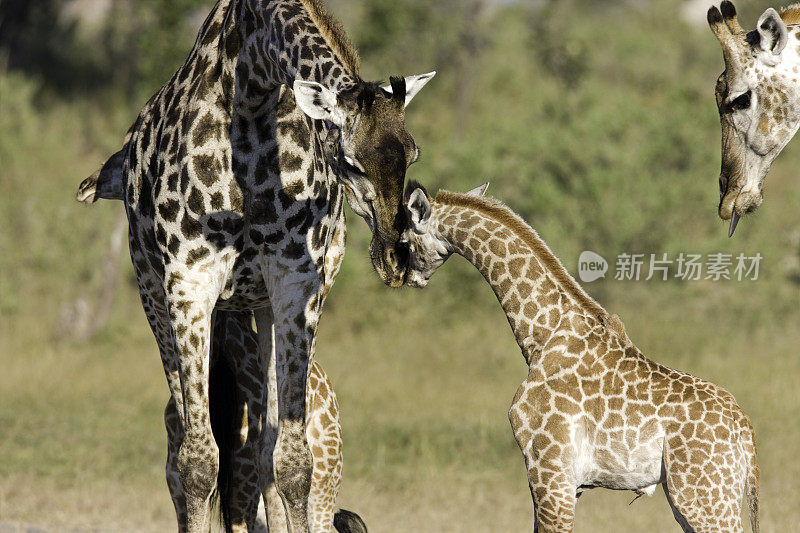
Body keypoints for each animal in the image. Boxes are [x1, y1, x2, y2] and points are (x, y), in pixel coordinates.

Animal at [86, 2, 434, 528]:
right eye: (351, 163)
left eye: (412, 154)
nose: (397, 257)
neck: (252, 93)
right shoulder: (190, 282)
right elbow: (197, 462)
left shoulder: (295, 283)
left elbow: (291, 460)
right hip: (154, 292)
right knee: (185, 433)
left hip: (264, 304)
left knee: (265, 445)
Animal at [404, 181, 760, 528]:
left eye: (405, 239)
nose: (406, 277)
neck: (542, 335)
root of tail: (745, 433)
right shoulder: (567, 482)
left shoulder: (549, 467)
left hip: (703, 497)